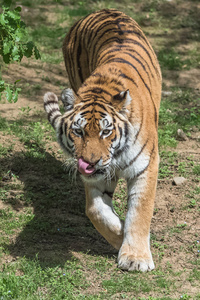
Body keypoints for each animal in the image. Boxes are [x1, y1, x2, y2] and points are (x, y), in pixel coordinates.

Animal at [43, 8, 161, 272]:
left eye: (106, 132)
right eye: (78, 132)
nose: (89, 163)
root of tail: (101, 10)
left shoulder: (146, 166)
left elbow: (140, 211)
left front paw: (136, 257)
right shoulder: (97, 178)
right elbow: (96, 210)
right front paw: (119, 236)